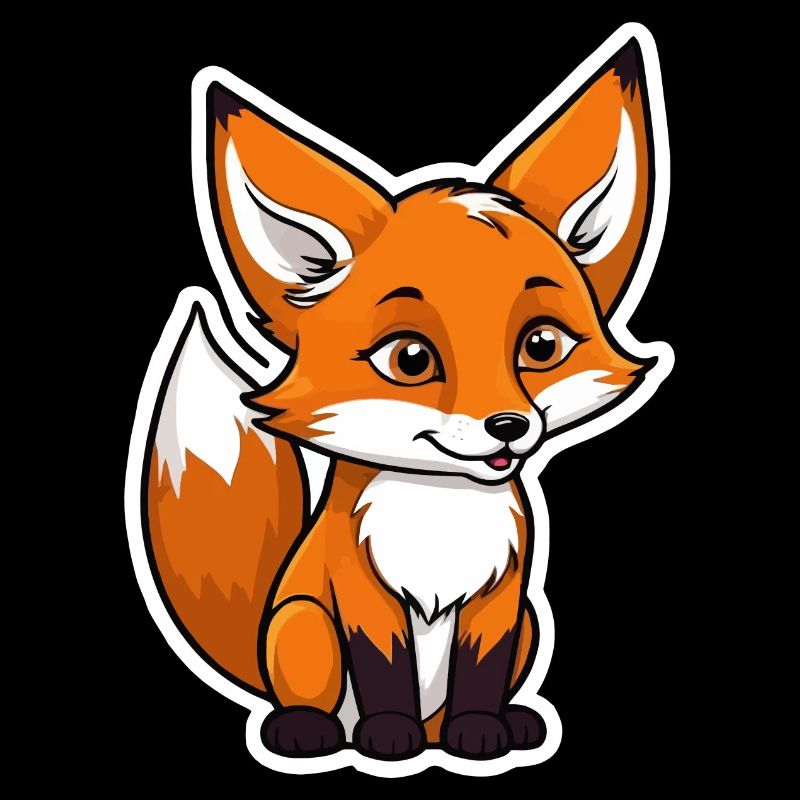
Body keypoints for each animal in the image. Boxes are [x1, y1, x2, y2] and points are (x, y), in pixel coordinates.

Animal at [133, 28, 672, 772]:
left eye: (541, 345)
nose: (509, 426)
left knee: (456, 704)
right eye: (410, 359)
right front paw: (389, 740)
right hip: (303, 623)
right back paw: (309, 730)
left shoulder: (501, 599)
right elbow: (384, 672)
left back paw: (486, 727)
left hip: (533, 624)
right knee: (314, 697)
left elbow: (480, 677)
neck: (437, 511)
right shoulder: (361, 594)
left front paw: (479, 735)